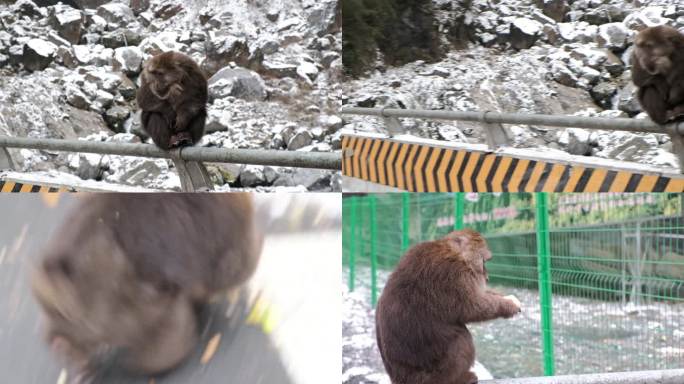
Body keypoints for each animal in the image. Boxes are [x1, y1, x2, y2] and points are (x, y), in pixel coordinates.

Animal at [376, 230, 520, 382]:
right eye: (483, 262)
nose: (487, 278)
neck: (452, 251)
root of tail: (401, 379)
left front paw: (507, 298)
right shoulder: (453, 273)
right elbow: (473, 306)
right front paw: (508, 306)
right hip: (434, 372)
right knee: (461, 339)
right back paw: (461, 378)